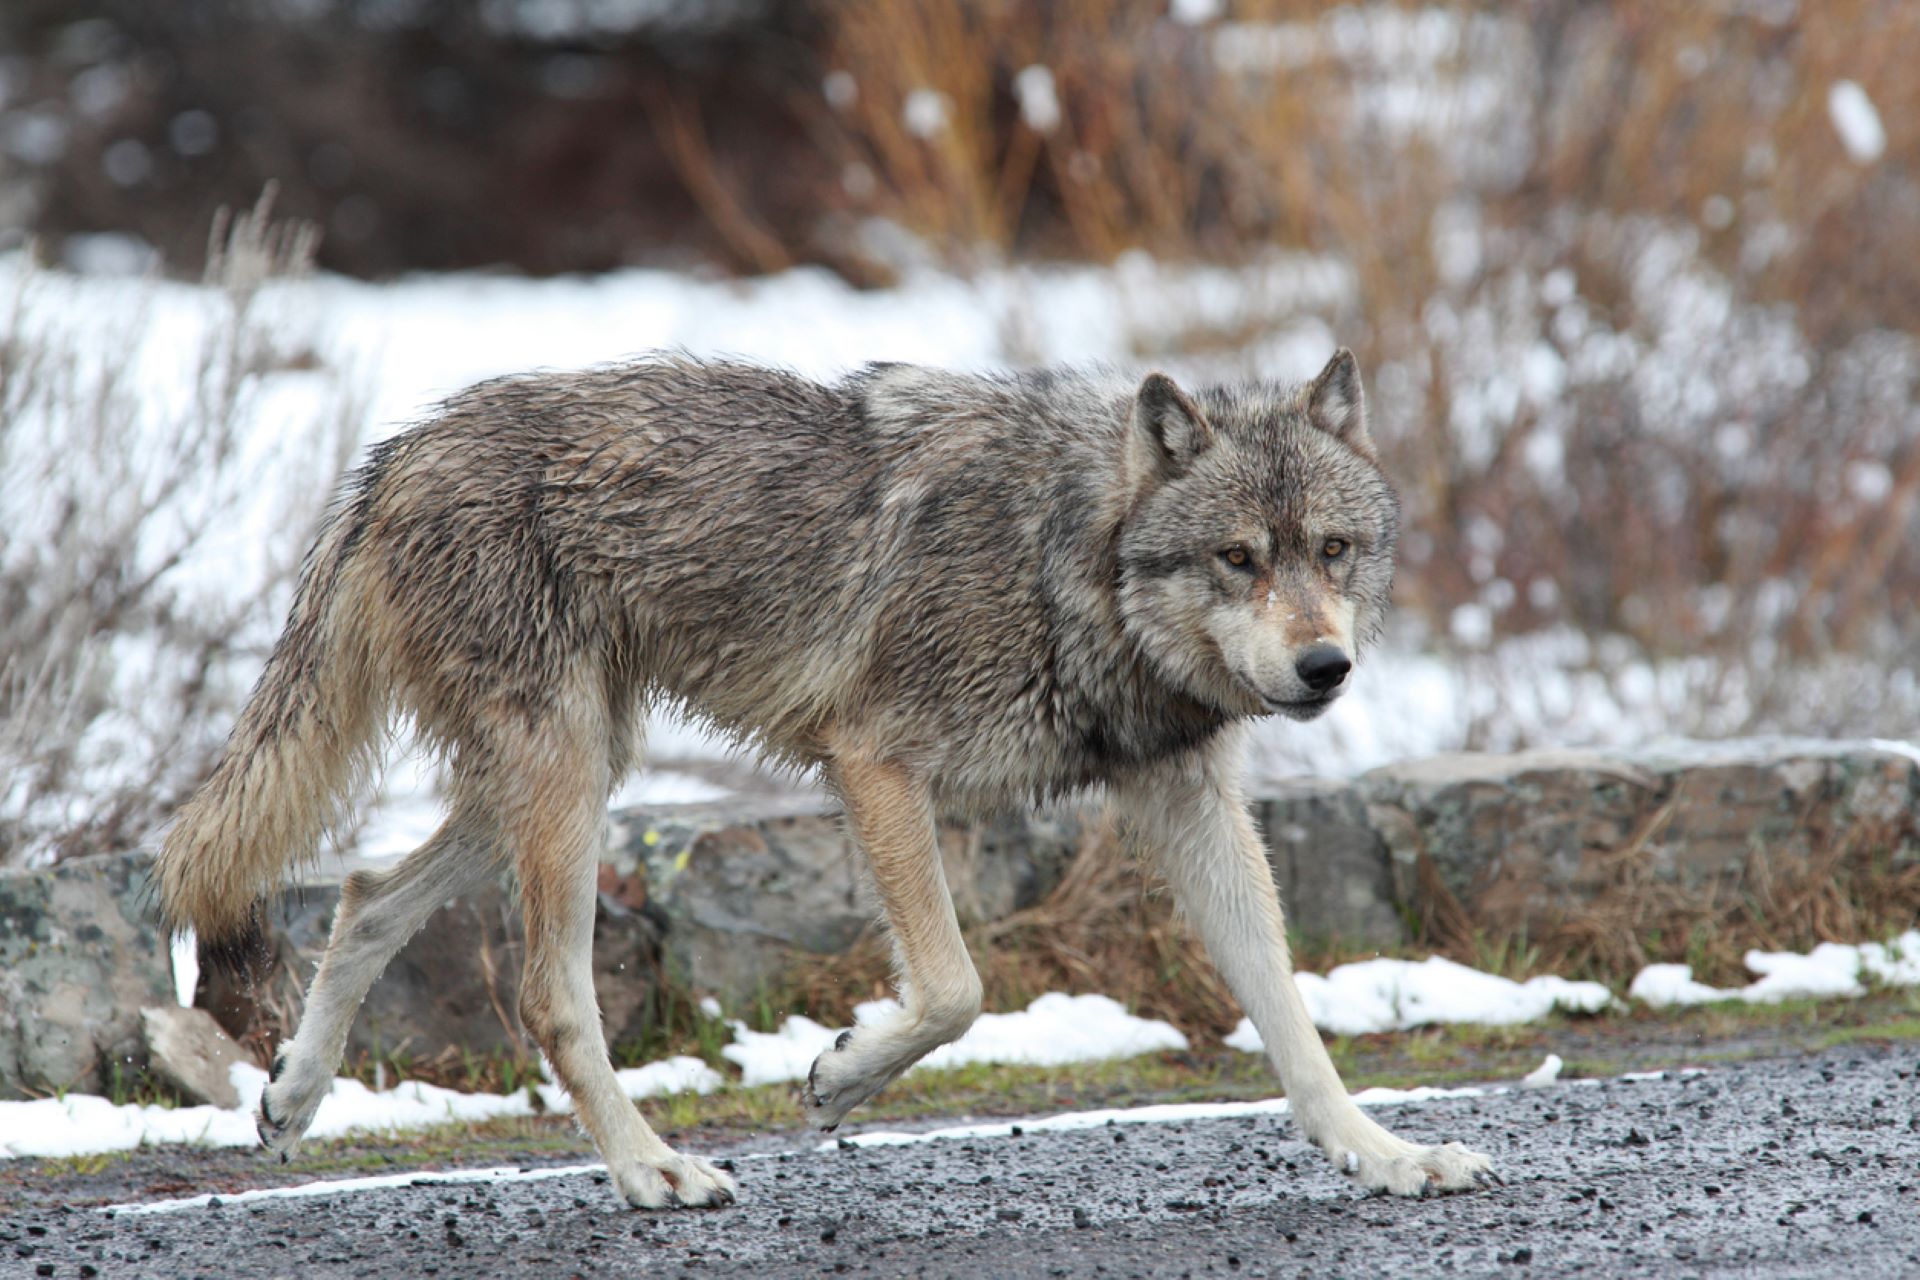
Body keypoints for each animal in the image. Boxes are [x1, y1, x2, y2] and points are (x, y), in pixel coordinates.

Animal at [153, 351, 1497, 1212]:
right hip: (568, 789)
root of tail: (396, 451)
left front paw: (1382, 1153)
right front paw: (842, 1070)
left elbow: (1289, 1015)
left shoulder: (1186, 796)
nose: (1326, 667)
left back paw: (292, 1098)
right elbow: (954, 986)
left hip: (550, 782)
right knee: (546, 993)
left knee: (363, 894)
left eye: (1333, 550)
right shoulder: (874, 759)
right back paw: (650, 1169)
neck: (1065, 561)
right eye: (1239, 558)